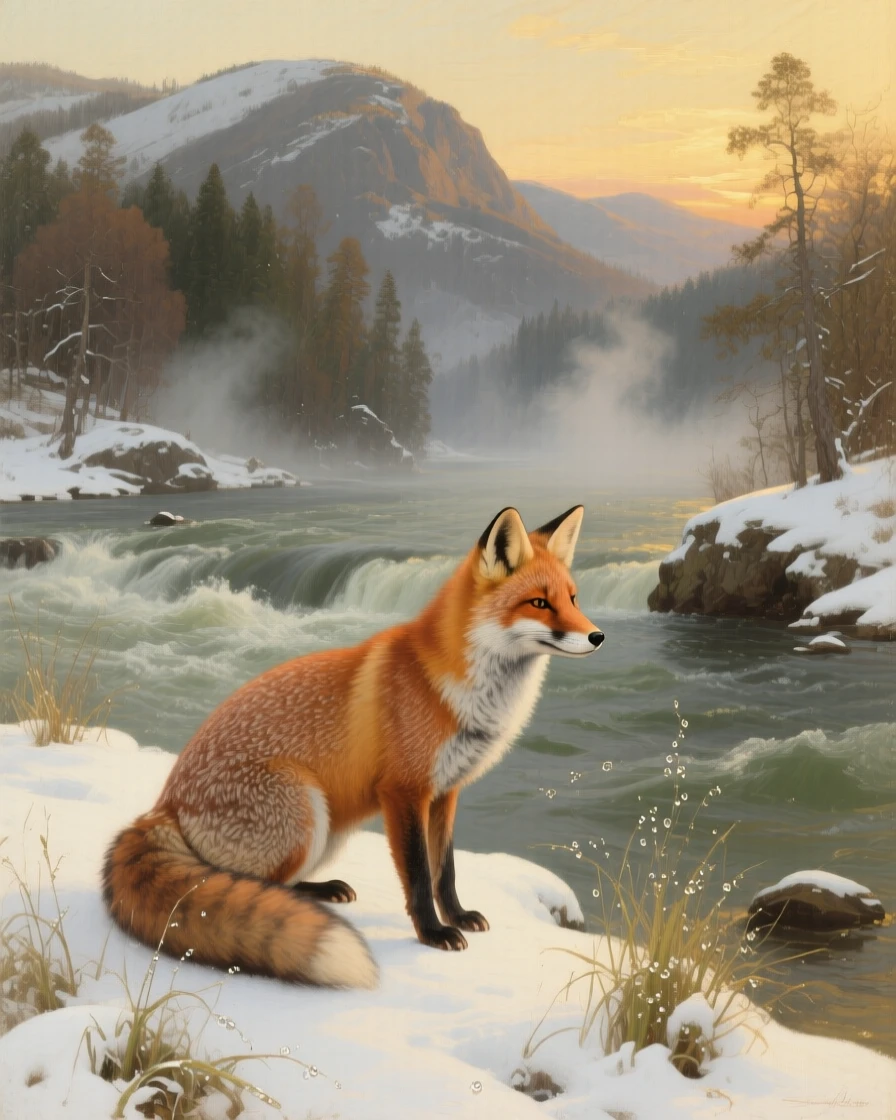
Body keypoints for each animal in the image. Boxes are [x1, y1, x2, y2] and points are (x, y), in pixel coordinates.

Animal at [104, 505, 604, 989]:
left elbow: (445, 871)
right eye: (539, 603)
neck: (456, 692)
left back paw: (324, 891)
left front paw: (458, 915)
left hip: (328, 827)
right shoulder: (403, 791)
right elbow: (419, 875)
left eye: (573, 599)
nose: (598, 636)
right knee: (247, 885)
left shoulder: (446, 791)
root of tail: (164, 804)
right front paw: (433, 934)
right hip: (305, 813)